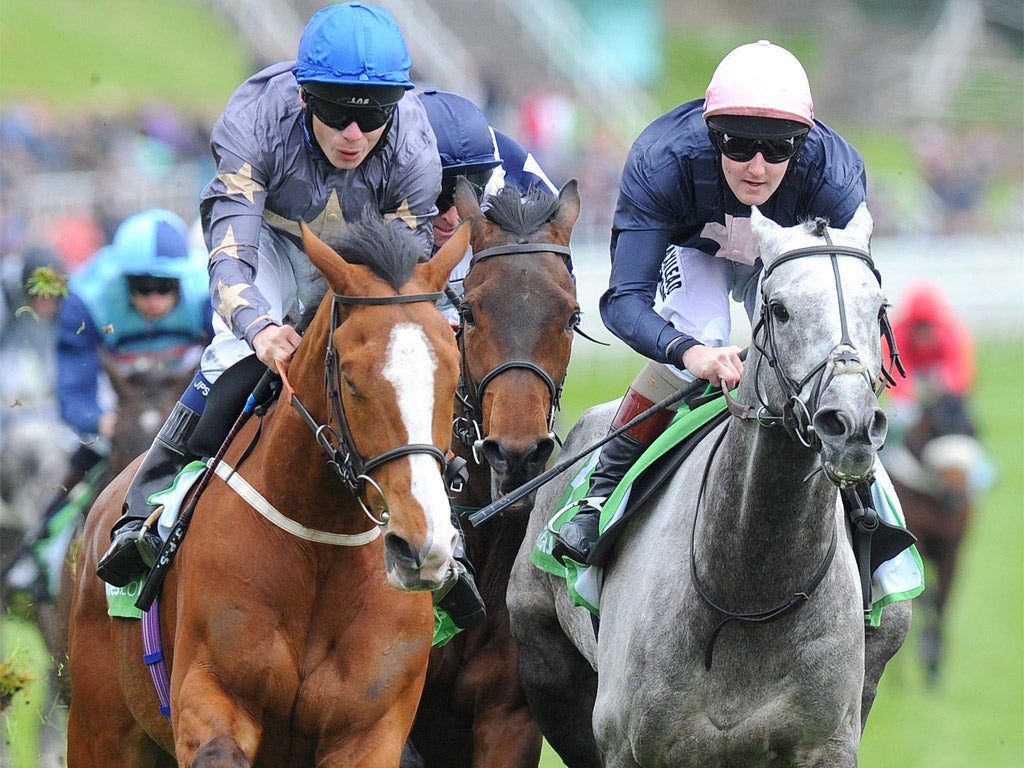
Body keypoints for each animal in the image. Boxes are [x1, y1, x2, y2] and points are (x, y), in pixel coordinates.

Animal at [66, 214, 473, 765]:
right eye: (352, 381)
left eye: (452, 374)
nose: (423, 546)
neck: (320, 544)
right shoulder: (210, 696)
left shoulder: (371, 729)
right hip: (98, 729)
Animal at [507, 204, 917, 768]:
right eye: (779, 309)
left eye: (878, 309)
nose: (850, 424)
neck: (749, 588)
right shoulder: (626, 745)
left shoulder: (827, 745)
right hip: (548, 670)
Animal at [884, 393, 987, 684]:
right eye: (935, 429)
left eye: (972, 430)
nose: (955, 495)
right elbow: (925, 597)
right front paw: (926, 651)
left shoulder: (951, 549)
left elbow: (942, 600)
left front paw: (934, 665)